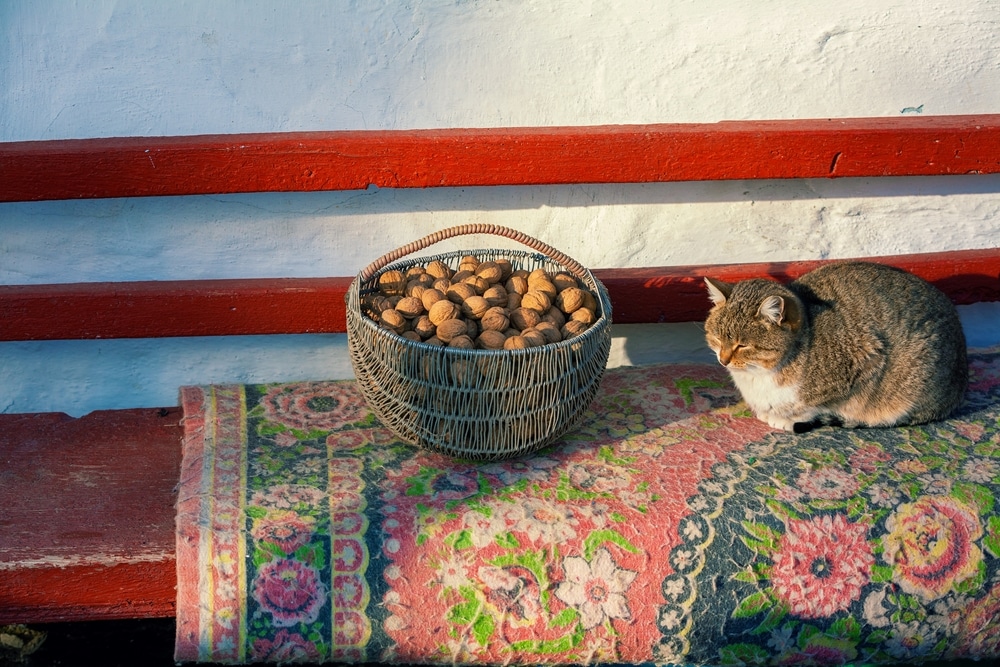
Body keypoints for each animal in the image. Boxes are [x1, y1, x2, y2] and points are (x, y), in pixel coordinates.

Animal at [704, 260, 968, 434]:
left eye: (742, 345)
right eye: (717, 338)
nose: (723, 360)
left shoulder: (867, 359)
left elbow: (815, 406)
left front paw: (787, 419)